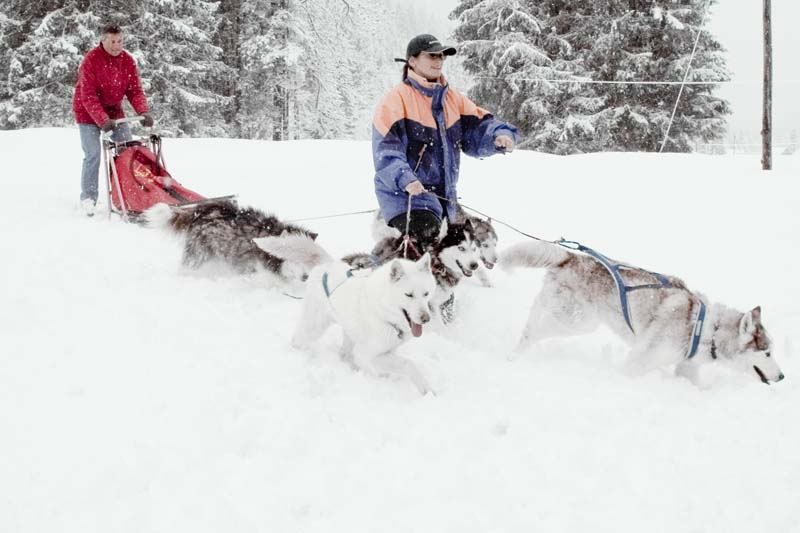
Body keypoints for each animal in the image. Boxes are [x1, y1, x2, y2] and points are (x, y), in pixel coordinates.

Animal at [259, 236, 437, 395]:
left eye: (426, 294)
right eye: (409, 295)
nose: (426, 319)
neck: (382, 312)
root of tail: (327, 264)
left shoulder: (387, 350)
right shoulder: (367, 353)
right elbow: (407, 364)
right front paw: (426, 390)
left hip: (348, 330)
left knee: (344, 354)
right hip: (314, 327)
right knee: (297, 340)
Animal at [501, 240, 785, 386]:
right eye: (767, 353)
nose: (782, 376)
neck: (706, 330)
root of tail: (572, 256)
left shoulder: (685, 367)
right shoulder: (639, 362)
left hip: (572, 317)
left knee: (536, 310)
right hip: (578, 321)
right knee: (535, 328)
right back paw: (517, 352)